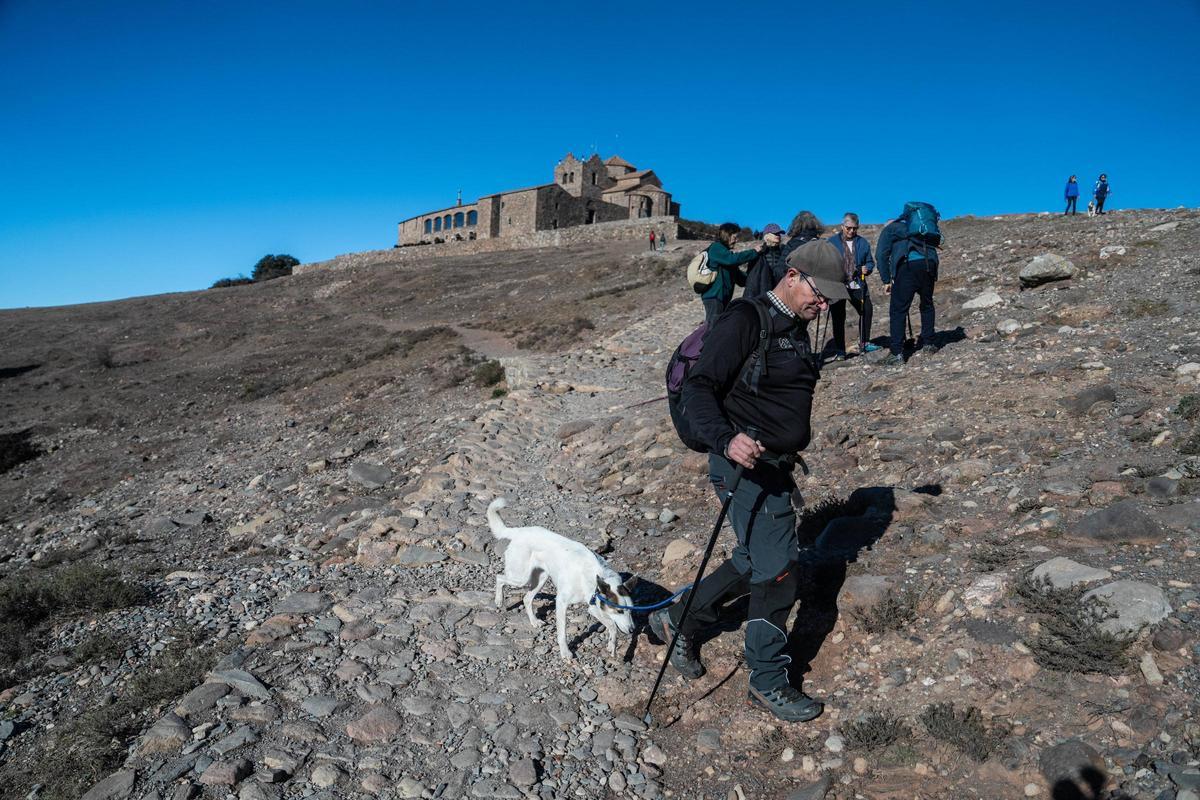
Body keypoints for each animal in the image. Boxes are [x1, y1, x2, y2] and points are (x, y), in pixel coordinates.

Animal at [487, 496, 638, 662]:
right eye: (619, 611)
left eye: (631, 610)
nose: (632, 630)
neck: (594, 577)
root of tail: (520, 531)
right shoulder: (562, 603)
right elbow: (562, 634)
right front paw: (565, 652)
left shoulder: (594, 606)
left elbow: (612, 625)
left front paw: (612, 646)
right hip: (520, 577)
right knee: (500, 578)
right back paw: (499, 600)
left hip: (541, 578)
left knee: (527, 598)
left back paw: (534, 621)